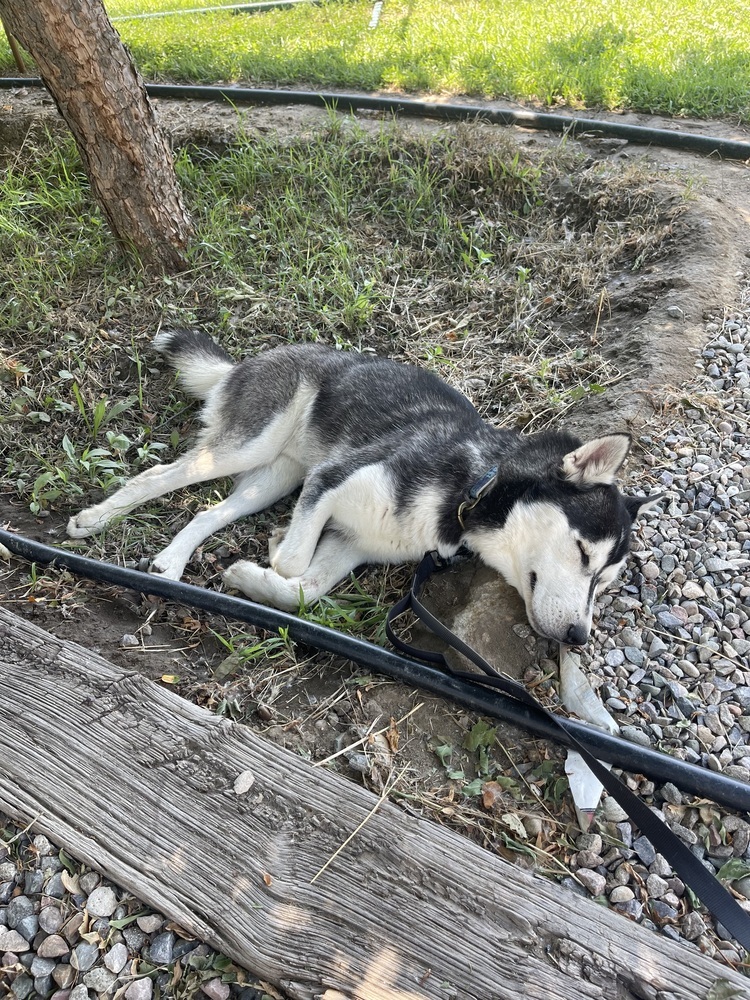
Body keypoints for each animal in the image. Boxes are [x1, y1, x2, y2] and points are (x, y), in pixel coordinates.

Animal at [69, 332, 656, 644]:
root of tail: (247, 361)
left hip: (272, 480)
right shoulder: (331, 478)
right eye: (583, 554)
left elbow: (305, 590)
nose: (579, 637)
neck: (469, 490)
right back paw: (95, 518)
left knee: (208, 512)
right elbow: (294, 562)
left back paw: (171, 562)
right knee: (158, 476)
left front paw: (253, 577)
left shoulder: (354, 544)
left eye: (604, 583)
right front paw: (277, 549)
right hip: (249, 446)